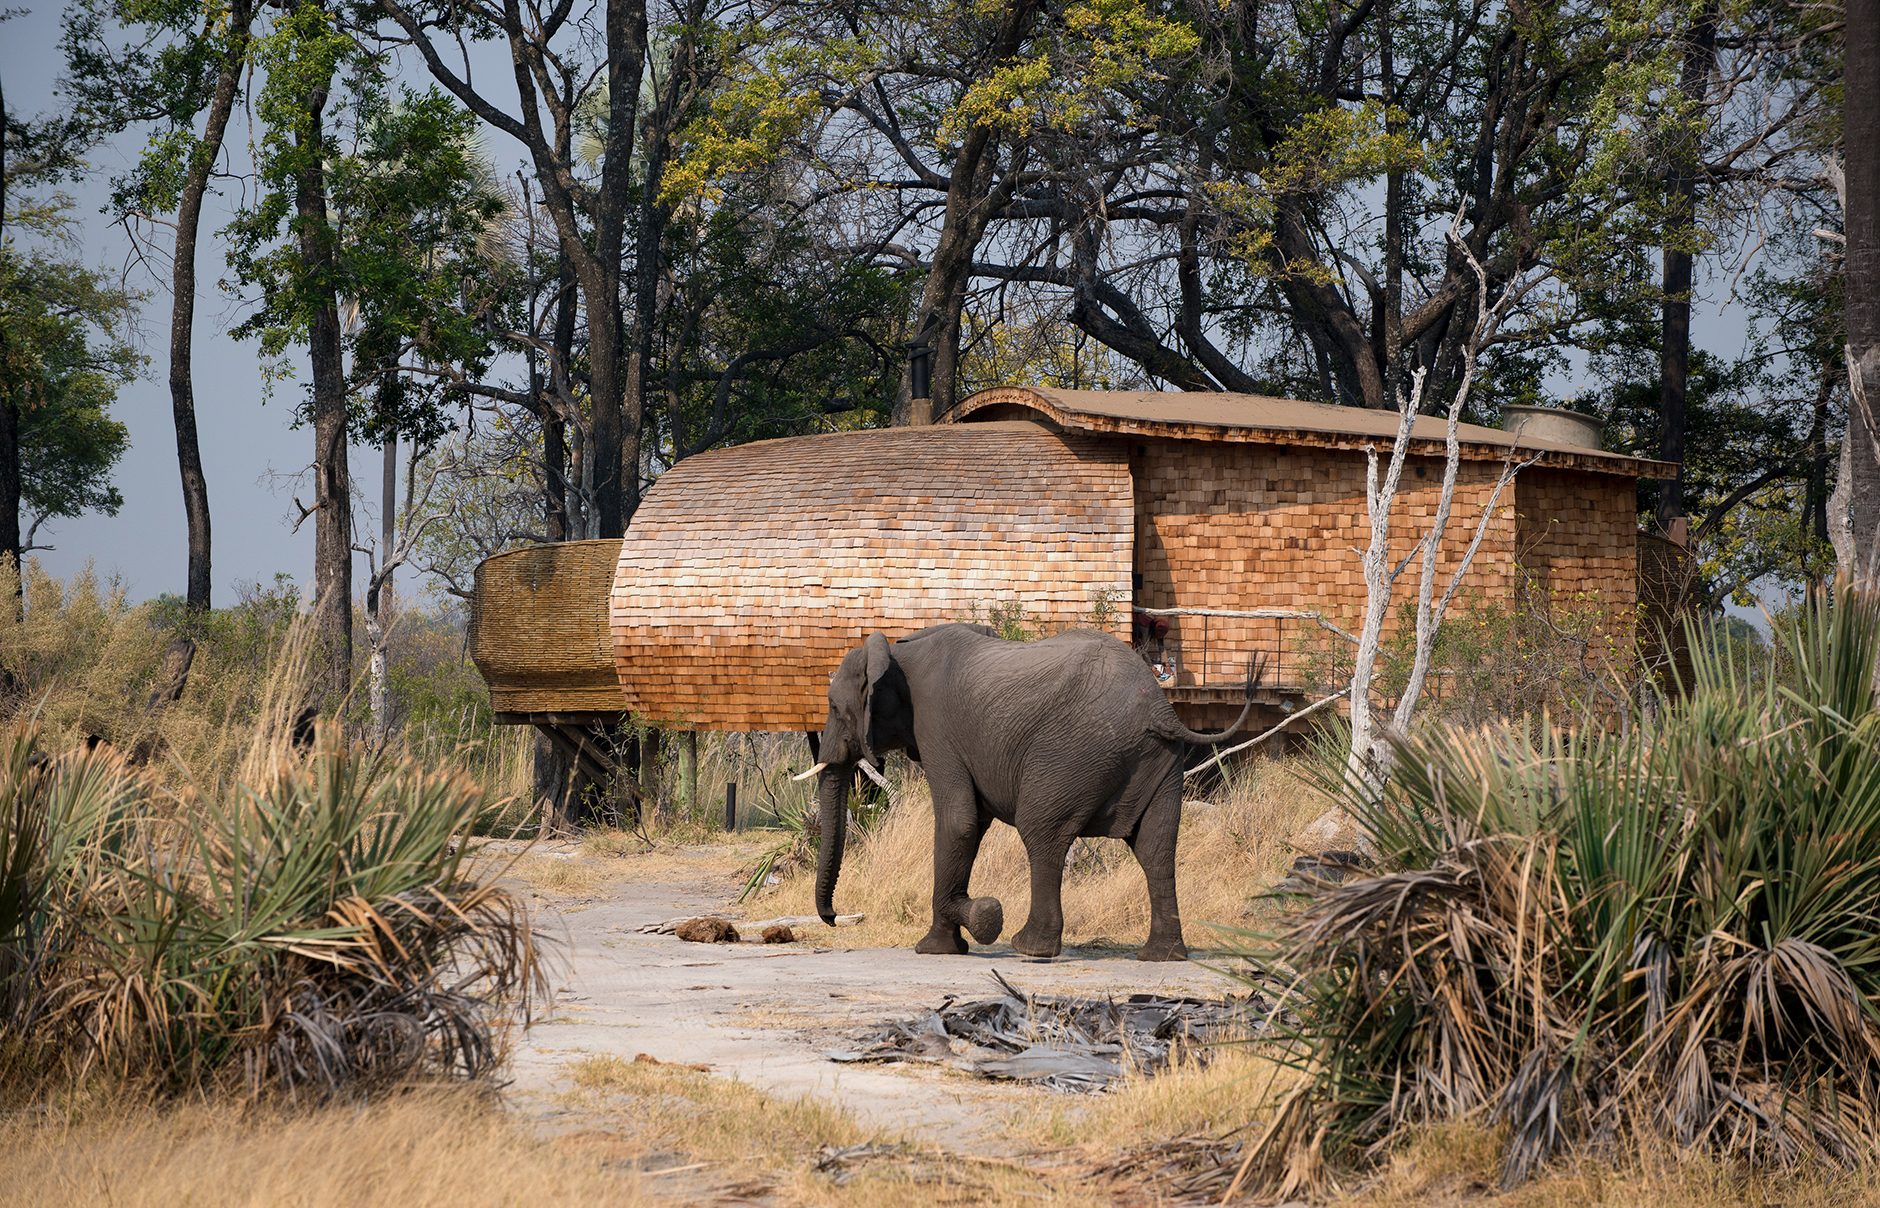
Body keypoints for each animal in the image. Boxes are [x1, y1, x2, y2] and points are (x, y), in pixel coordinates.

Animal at [800, 623, 1255, 961]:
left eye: (835, 708)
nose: (835, 916)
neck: (898, 651)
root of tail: (1159, 709)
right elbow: (973, 822)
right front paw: (956, 940)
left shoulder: (937, 729)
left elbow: (959, 821)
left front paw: (954, 936)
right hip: (1160, 761)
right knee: (1155, 848)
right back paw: (1161, 956)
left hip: (1073, 754)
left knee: (1041, 832)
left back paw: (1030, 948)